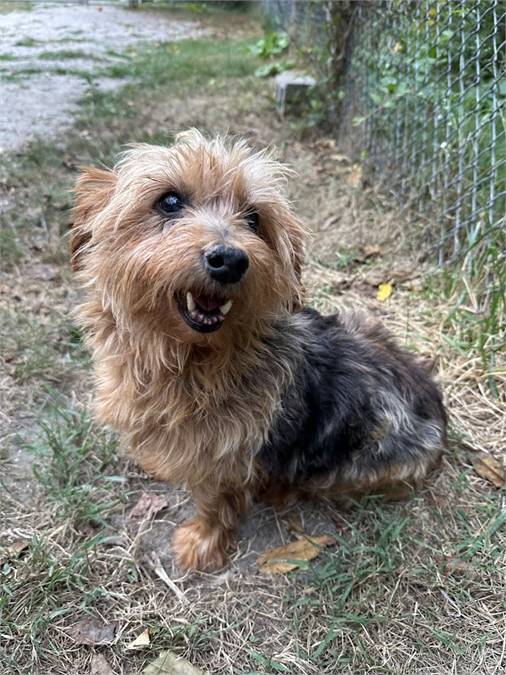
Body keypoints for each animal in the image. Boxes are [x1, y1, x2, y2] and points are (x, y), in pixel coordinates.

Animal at [72, 127, 446, 572]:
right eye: (169, 201)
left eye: (254, 219)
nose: (230, 259)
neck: (190, 362)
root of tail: (434, 400)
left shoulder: (223, 460)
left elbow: (215, 502)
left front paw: (202, 542)